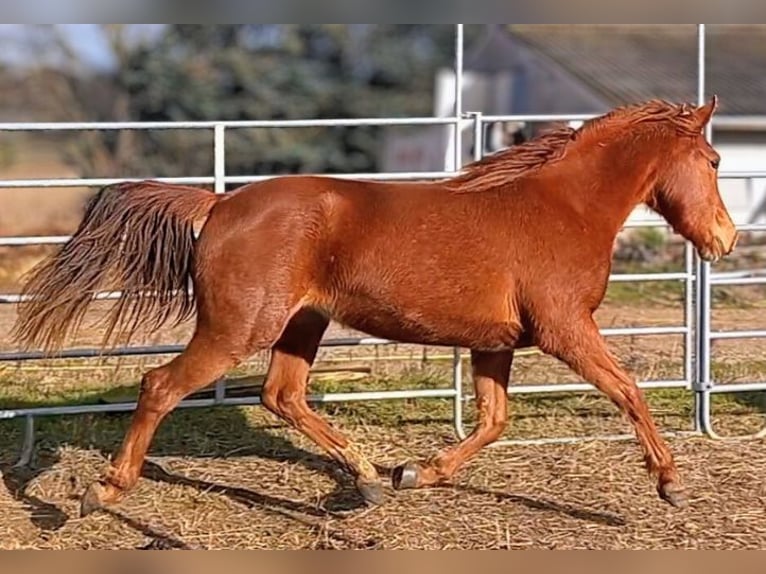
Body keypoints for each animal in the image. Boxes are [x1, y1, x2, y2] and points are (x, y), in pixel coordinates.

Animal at [12, 96, 737, 519]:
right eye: (713, 158)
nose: (725, 239)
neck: (563, 208)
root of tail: (220, 203)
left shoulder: (495, 343)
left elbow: (493, 422)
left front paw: (414, 472)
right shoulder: (565, 329)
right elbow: (629, 390)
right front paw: (670, 483)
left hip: (300, 323)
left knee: (282, 395)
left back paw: (364, 481)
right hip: (238, 327)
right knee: (161, 385)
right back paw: (100, 491)